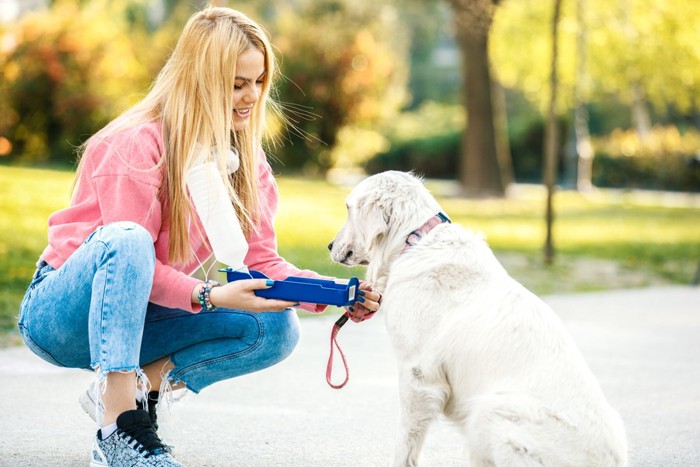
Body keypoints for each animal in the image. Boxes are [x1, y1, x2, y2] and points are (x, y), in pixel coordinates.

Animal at [330, 173, 628, 467]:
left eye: (347, 208)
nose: (330, 245)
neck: (413, 240)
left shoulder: (418, 375)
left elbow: (406, 443)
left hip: (489, 409)